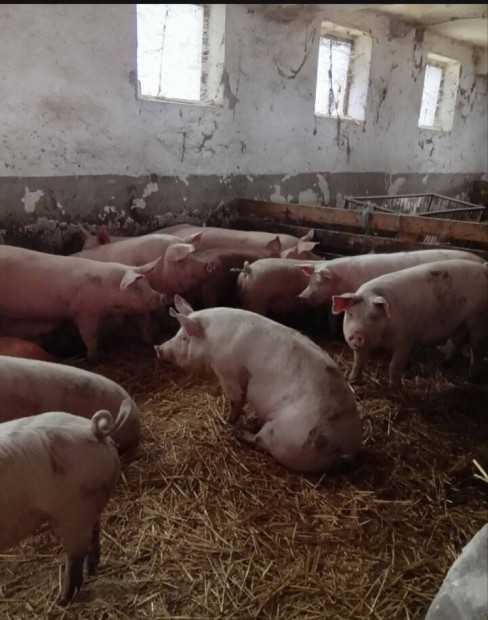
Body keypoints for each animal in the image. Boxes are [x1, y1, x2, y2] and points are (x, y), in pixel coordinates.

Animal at [0, 245, 166, 360]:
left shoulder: (133, 309)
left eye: (148, 284)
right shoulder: (84, 314)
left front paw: (149, 341)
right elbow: (90, 337)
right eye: (137, 287)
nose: (162, 296)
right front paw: (94, 358)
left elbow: (143, 325)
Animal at [0, 400, 129, 604]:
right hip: (86, 506)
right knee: (94, 530)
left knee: (76, 551)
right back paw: (90, 571)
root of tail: (93, 430)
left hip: (71, 513)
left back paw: (63, 599)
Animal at [154, 296, 362, 473]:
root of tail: (346, 449)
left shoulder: (226, 369)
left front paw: (228, 421)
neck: (210, 340)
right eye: (177, 334)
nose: (158, 349)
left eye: (184, 338)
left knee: (259, 440)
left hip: (286, 435)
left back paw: (237, 432)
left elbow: (237, 397)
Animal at [332, 260, 488, 386]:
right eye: (351, 314)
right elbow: (358, 362)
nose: (357, 334)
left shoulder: (405, 340)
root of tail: (483, 268)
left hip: (479, 318)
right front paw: (353, 381)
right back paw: (445, 363)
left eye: (374, 316)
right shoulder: (363, 346)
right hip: (463, 322)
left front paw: (395, 386)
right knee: (457, 339)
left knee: (477, 349)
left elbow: (395, 364)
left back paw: (471, 380)